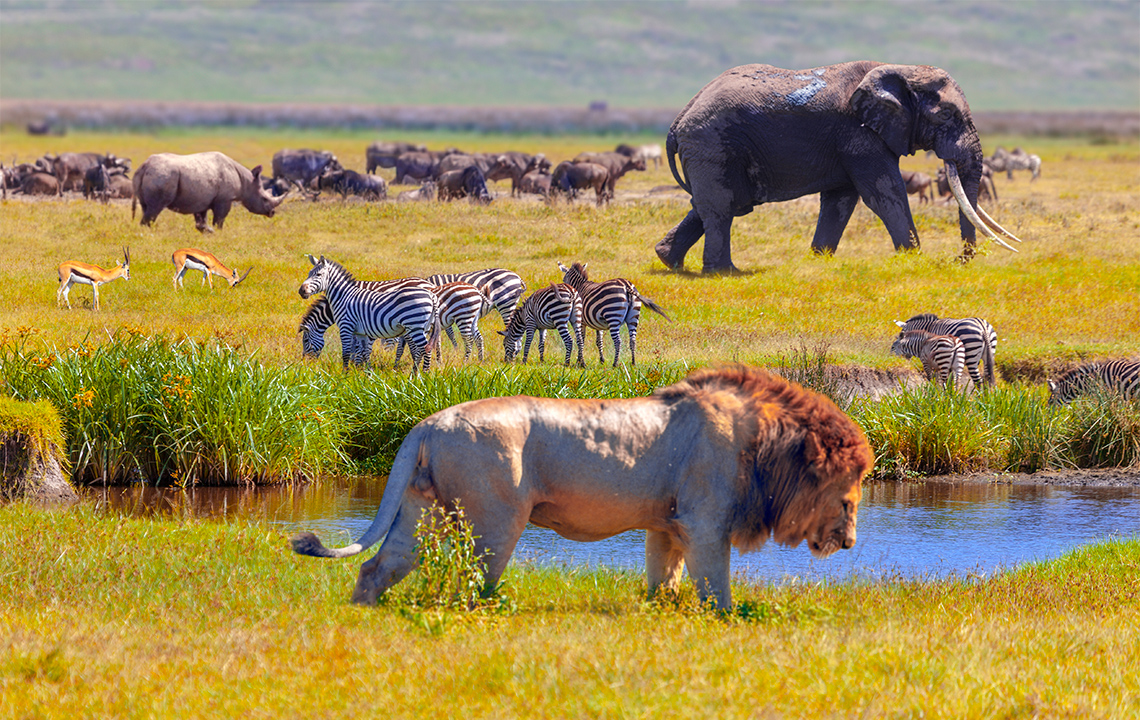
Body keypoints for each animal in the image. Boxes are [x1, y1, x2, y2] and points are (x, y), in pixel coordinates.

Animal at [291, 365, 874, 609]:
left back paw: (363, 612)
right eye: (850, 492)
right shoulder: (706, 522)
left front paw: (659, 613)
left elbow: (664, 579)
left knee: (378, 566)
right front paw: (725, 621)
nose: (849, 542)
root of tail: (427, 423)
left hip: (424, 508)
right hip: (496, 518)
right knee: (474, 583)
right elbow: (717, 588)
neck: (767, 445)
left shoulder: (668, 524)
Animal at [655, 62, 1021, 273]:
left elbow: (841, 200)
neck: (899, 68)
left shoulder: (850, 141)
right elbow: (884, 193)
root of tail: (676, 122)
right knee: (722, 207)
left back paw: (668, 261)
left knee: (715, 204)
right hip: (711, 143)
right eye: (946, 115)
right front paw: (914, 260)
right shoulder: (858, 133)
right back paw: (724, 272)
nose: (959, 260)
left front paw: (818, 260)